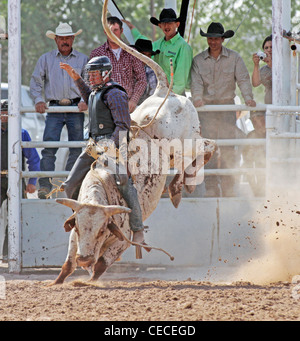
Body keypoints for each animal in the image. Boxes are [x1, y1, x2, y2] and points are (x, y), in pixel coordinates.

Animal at [51, 0, 216, 282]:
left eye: (101, 229)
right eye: (82, 228)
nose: (85, 258)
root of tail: (163, 91)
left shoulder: (122, 238)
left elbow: (101, 265)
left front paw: (88, 279)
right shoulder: (75, 234)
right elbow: (67, 264)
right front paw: (60, 281)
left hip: (187, 140)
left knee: (208, 148)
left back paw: (181, 187)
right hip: (174, 152)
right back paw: (176, 188)